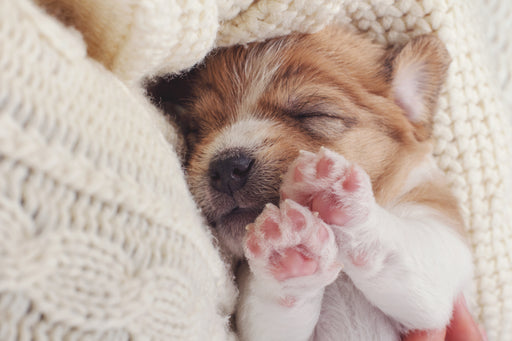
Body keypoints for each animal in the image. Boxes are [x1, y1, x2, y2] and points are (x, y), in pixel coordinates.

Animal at [171, 27, 472, 340]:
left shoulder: (440, 249)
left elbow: (399, 244)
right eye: (196, 130)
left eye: (314, 114)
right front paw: (288, 249)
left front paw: (331, 191)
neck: (341, 277)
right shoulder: (265, 327)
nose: (227, 166)